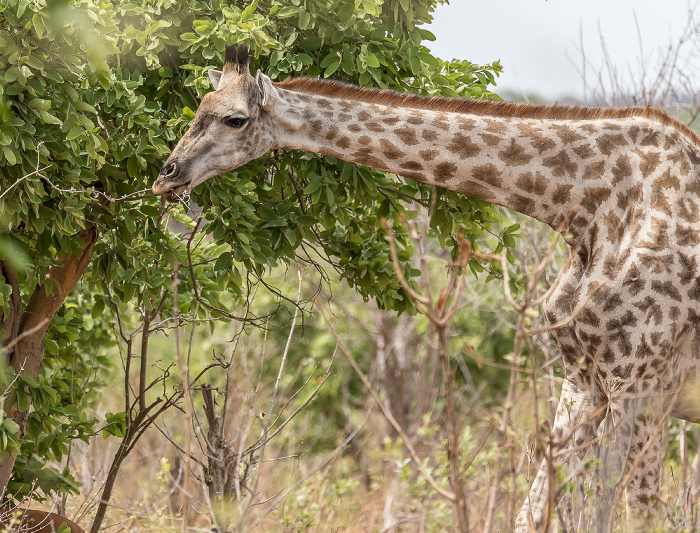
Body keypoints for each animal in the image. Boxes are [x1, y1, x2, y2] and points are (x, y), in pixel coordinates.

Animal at [153, 44, 700, 528]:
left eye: (235, 120)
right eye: (198, 108)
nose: (166, 175)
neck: (592, 208)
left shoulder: (641, 384)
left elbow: (633, 514)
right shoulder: (584, 379)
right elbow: (535, 513)